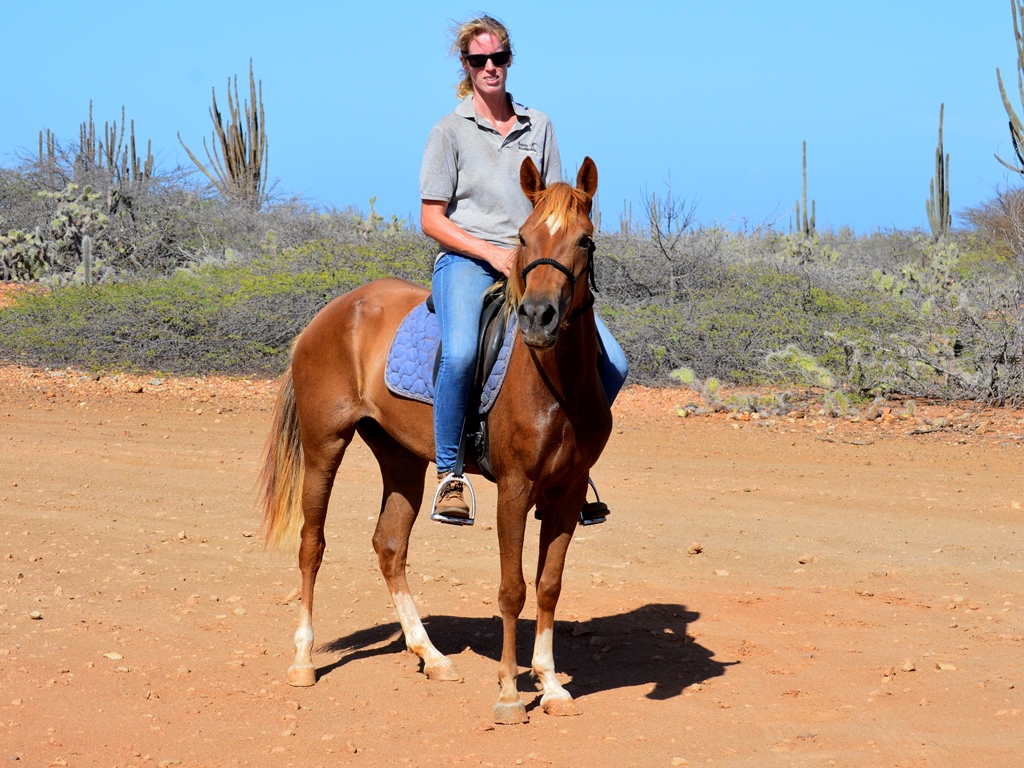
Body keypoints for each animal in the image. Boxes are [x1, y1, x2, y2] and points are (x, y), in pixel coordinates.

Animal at [257, 156, 612, 724]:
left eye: (585, 240)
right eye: (523, 237)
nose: (537, 317)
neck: (555, 382)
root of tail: (332, 312)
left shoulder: (567, 491)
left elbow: (549, 587)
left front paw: (552, 685)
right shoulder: (515, 489)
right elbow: (512, 589)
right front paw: (509, 692)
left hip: (400, 458)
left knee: (389, 546)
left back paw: (432, 654)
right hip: (324, 448)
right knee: (312, 545)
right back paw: (303, 661)